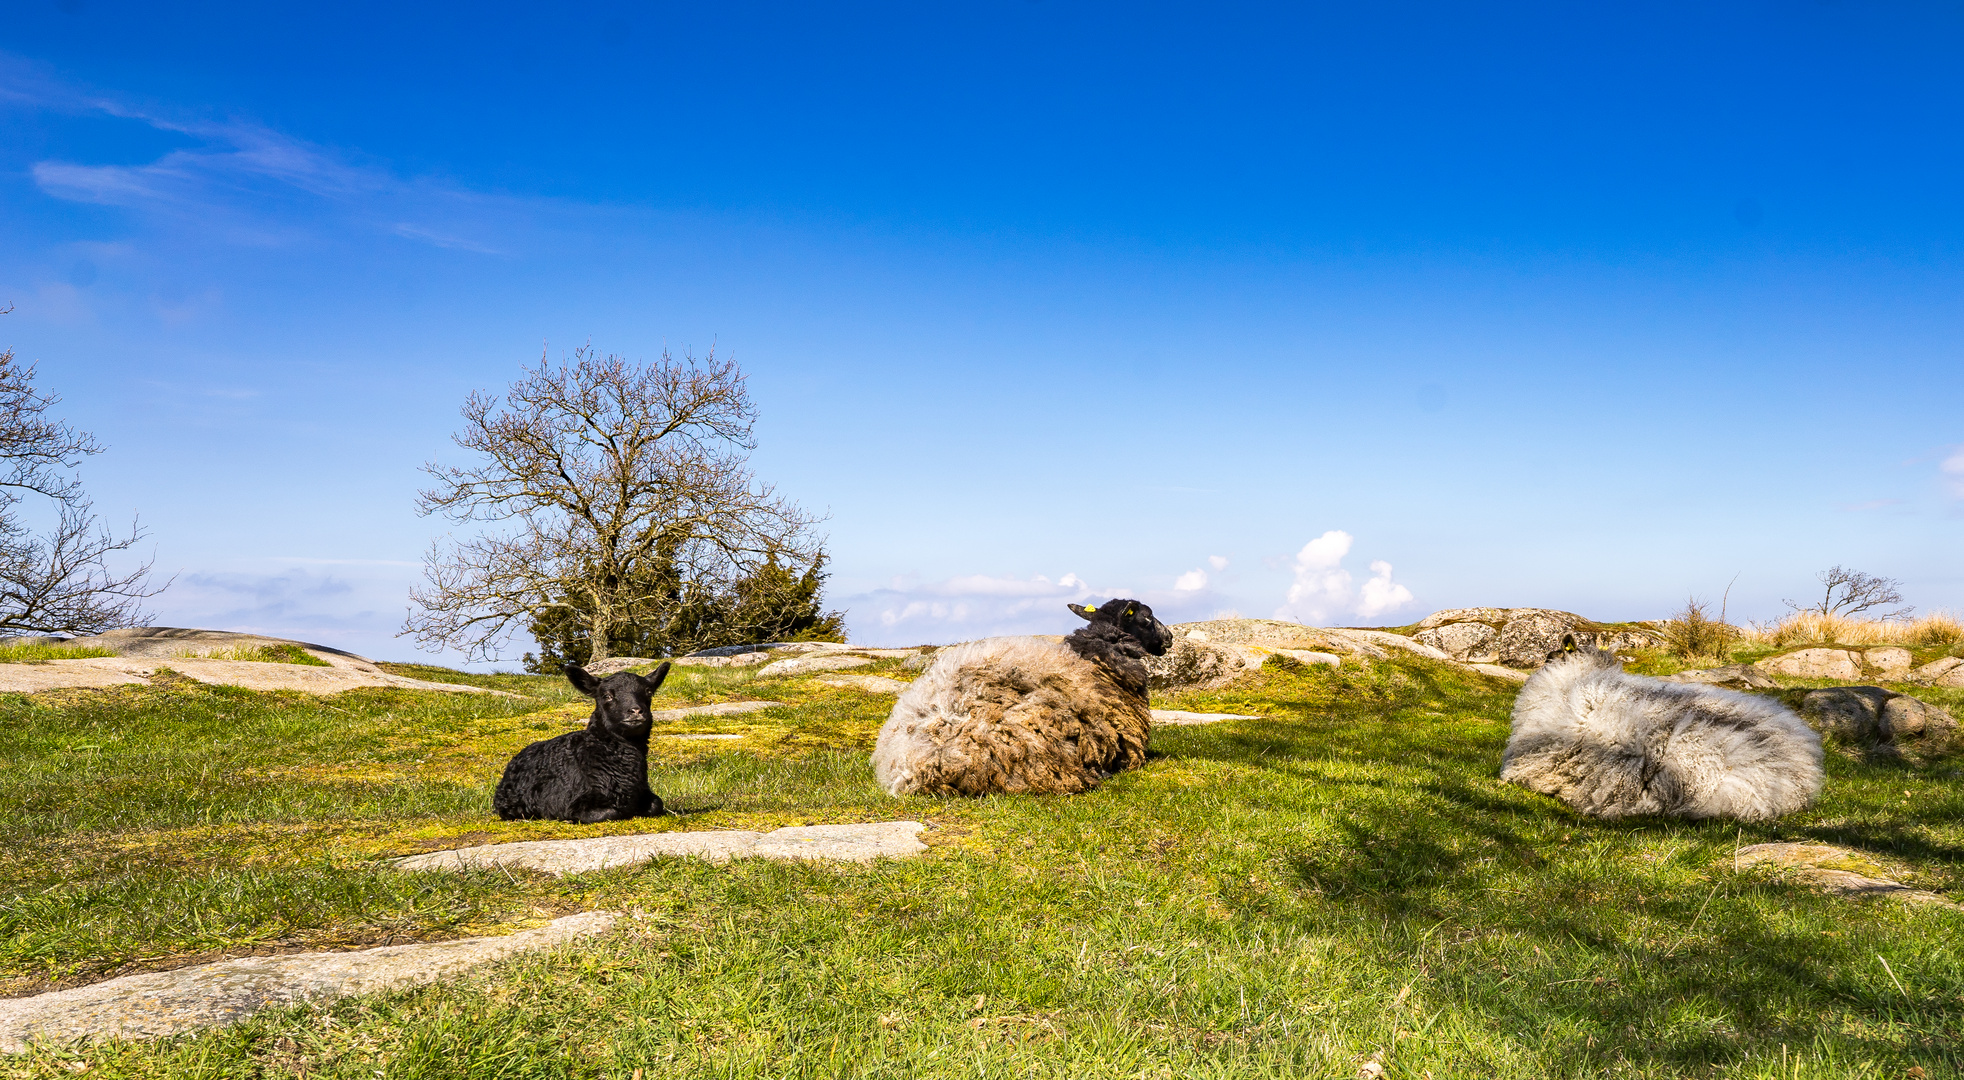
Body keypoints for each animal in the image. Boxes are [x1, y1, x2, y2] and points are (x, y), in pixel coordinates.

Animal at [491, 659, 675, 828]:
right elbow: (611, 812)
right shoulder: (572, 803)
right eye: (607, 696)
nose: (636, 711)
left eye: (649, 692)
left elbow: (656, 804)